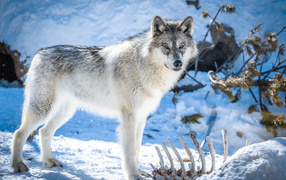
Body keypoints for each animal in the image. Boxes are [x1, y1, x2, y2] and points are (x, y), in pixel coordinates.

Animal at [11, 16, 199, 179]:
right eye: (165, 46)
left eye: (181, 46)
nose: (178, 63)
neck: (144, 67)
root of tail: (38, 54)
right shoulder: (129, 118)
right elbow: (130, 150)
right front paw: (133, 175)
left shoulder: (141, 117)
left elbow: (137, 147)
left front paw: (140, 172)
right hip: (42, 109)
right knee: (19, 133)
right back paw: (18, 165)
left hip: (64, 112)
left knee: (44, 131)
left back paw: (49, 161)